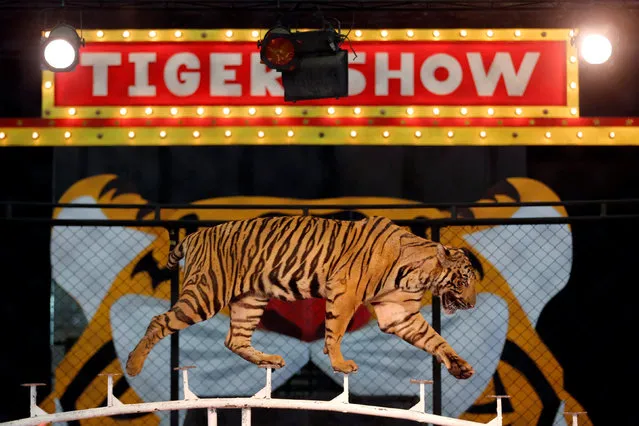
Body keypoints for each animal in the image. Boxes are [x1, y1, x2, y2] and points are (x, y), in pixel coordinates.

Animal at [126, 216, 480, 380]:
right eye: (464, 281)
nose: (473, 304)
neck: (419, 273)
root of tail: (199, 232)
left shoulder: (399, 313)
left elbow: (435, 340)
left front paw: (460, 366)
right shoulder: (345, 294)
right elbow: (335, 332)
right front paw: (339, 364)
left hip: (249, 300)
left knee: (234, 340)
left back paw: (267, 359)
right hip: (206, 293)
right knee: (159, 321)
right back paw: (133, 365)